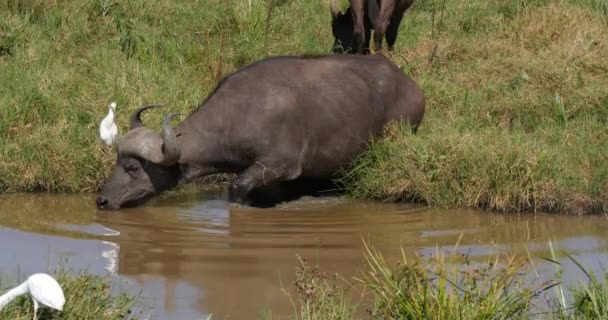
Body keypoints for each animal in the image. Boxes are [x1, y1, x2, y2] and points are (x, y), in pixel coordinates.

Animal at [96, 54, 428, 210]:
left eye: (133, 167)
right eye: (116, 163)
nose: (101, 200)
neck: (237, 115)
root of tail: (412, 87)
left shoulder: (278, 165)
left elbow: (236, 188)